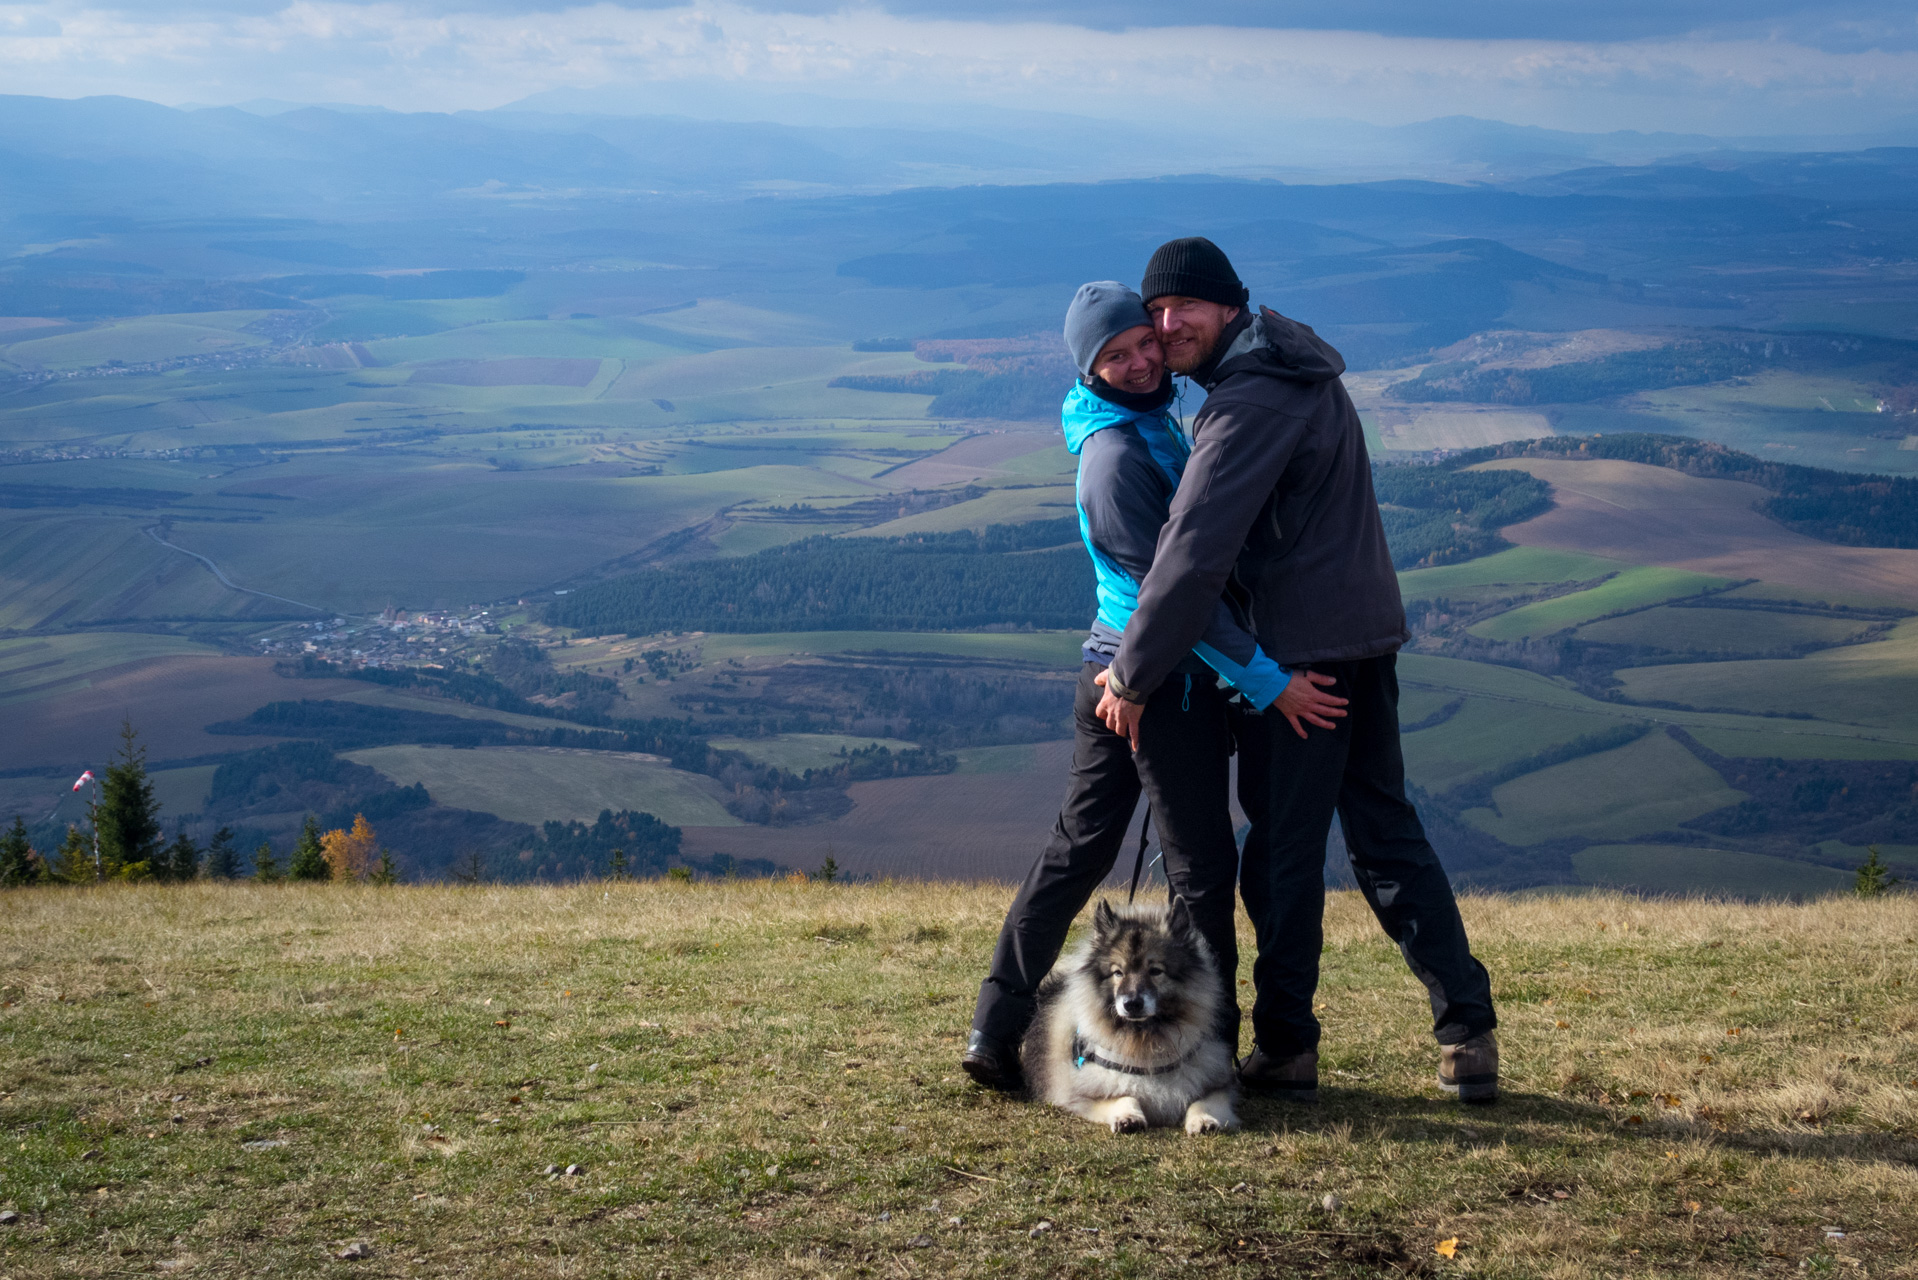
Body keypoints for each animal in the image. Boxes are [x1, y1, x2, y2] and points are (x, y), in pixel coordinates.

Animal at [1028, 898, 1235, 1136]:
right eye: (1118, 972)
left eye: (1155, 971)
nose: (1132, 1004)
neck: (1144, 1043)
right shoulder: (1084, 1093)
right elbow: (1124, 1096)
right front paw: (1128, 1117)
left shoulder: (1216, 1085)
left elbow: (1201, 1101)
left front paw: (1204, 1119)